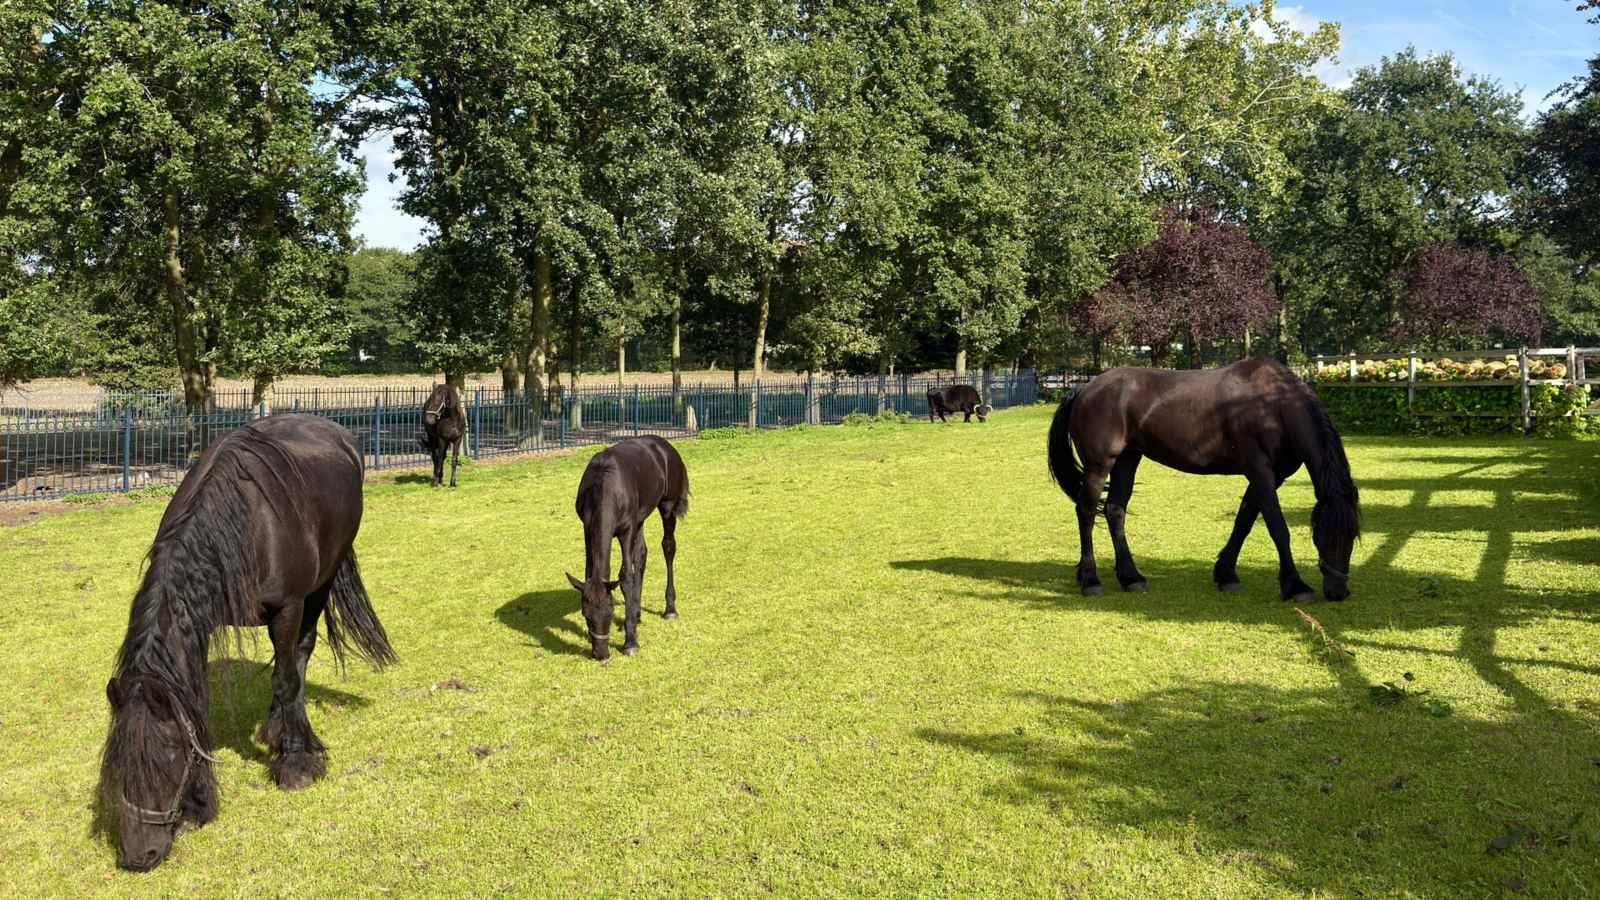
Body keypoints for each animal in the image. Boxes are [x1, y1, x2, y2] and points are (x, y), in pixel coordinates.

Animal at [97, 415, 396, 872]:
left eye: (166, 759)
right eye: (117, 765)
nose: (137, 857)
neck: (243, 527)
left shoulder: (288, 607)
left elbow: (288, 679)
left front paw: (296, 764)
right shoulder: (199, 624)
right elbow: (197, 703)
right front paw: (198, 804)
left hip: (321, 584)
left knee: (297, 659)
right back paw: (274, 728)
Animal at [565, 436, 690, 662]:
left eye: (610, 612)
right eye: (586, 615)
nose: (602, 654)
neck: (604, 486)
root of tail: (666, 446)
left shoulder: (626, 529)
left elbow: (625, 576)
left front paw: (630, 643)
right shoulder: (587, 528)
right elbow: (593, 571)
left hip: (667, 506)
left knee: (668, 547)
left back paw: (669, 609)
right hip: (640, 518)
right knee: (641, 555)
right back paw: (636, 614)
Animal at [1047, 359, 1359, 603]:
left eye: (1353, 536)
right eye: (1323, 534)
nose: (1338, 591)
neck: (1273, 405)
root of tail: (1085, 388)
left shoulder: (1271, 476)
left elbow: (1244, 520)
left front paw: (1226, 574)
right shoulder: (1260, 471)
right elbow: (1277, 527)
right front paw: (1295, 585)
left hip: (1127, 460)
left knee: (1115, 510)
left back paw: (1131, 577)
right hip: (1100, 466)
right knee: (1086, 512)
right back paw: (1091, 580)